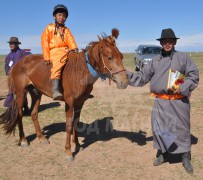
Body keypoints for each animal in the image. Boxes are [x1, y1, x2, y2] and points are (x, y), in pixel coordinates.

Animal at [0, 28, 127, 160]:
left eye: (121, 56)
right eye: (109, 57)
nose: (124, 82)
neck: (80, 71)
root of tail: (17, 64)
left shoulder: (79, 103)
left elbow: (76, 123)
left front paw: (77, 144)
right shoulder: (69, 102)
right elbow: (69, 126)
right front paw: (68, 151)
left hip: (36, 93)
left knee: (34, 114)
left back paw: (42, 138)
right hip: (21, 93)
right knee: (19, 115)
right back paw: (24, 140)